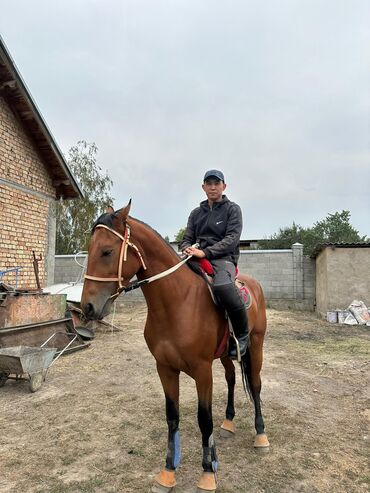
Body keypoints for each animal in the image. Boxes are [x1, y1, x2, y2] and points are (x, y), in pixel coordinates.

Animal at [80, 202, 268, 490]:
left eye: (107, 251)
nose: (87, 307)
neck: (178, 302)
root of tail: (253, 284)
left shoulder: (202, 371)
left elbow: (204, 419)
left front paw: (208, 473)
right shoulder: (165, 368)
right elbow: (172, 416)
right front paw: (168, 472)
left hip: (256, 345)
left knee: (255, 385)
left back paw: (261, 435)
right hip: (226, 354)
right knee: (232, 378)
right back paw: (228, 422)